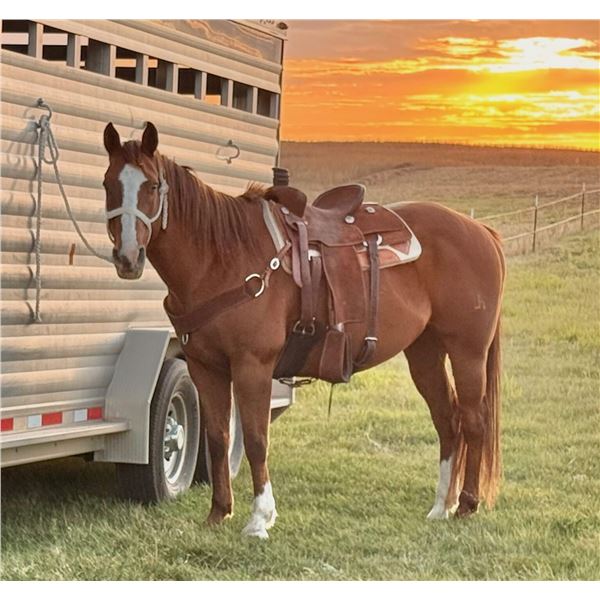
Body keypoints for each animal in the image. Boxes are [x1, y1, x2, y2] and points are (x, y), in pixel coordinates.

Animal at [102, 121, 505, 539]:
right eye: (107, 184)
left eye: (151, 185)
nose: (127, 258)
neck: (222, 258)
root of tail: (480, 230)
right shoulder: (205, 368)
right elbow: (217, 437)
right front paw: (219, 513)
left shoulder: (252, 365)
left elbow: (257, 439)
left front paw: (259, 519)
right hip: (425, 353)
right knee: (447, 420)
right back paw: (442, 506)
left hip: (468, 350)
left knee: (473, 420)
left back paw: (467, 505)